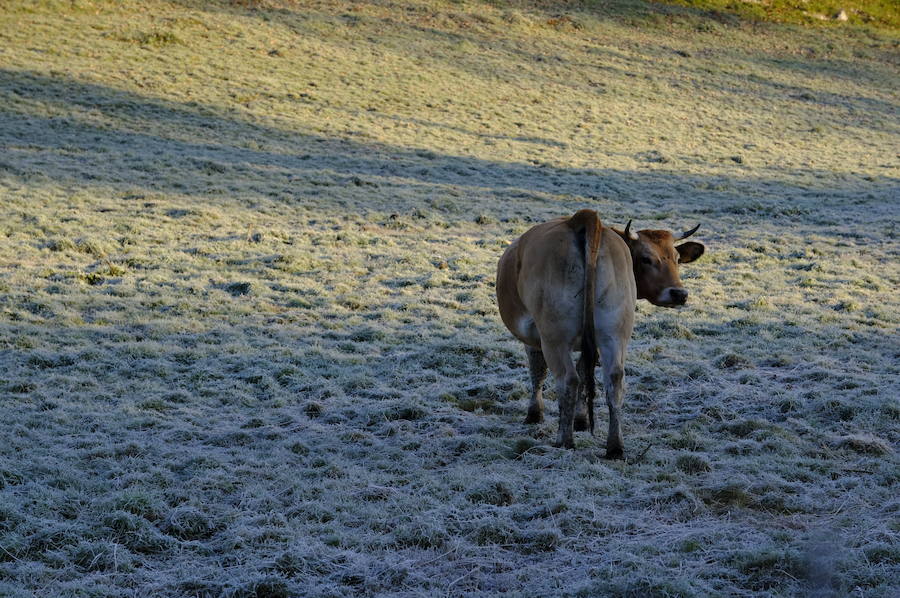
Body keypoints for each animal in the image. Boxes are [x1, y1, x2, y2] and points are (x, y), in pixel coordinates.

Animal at [496, 209, 708, 462]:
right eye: (646, 258)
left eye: (677, 259)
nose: (679, 294)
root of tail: (581, 219)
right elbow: (584, 370)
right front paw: (580, 419)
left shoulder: (536, 337)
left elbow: (538, 372)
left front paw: (535, 414)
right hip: (614, 334)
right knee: (614, 380)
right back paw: (615, 446)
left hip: (555, 338)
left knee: (568, 379)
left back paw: (564, 441)